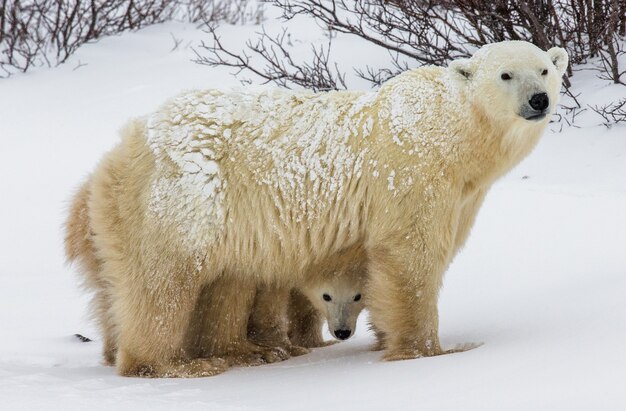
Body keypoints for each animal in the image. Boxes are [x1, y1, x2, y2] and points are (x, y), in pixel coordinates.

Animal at [67, 41, 564, 376]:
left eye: (544, 69)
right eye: (506, 75)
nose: (538, 99)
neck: (451, 135)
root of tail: (121, 149)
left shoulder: (462, 193)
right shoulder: (411, 173)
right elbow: (410, 256)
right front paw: (428, 351)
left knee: (223, 281)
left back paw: (240, 352)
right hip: (185, 201)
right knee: (163, 282)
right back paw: (173, 364)